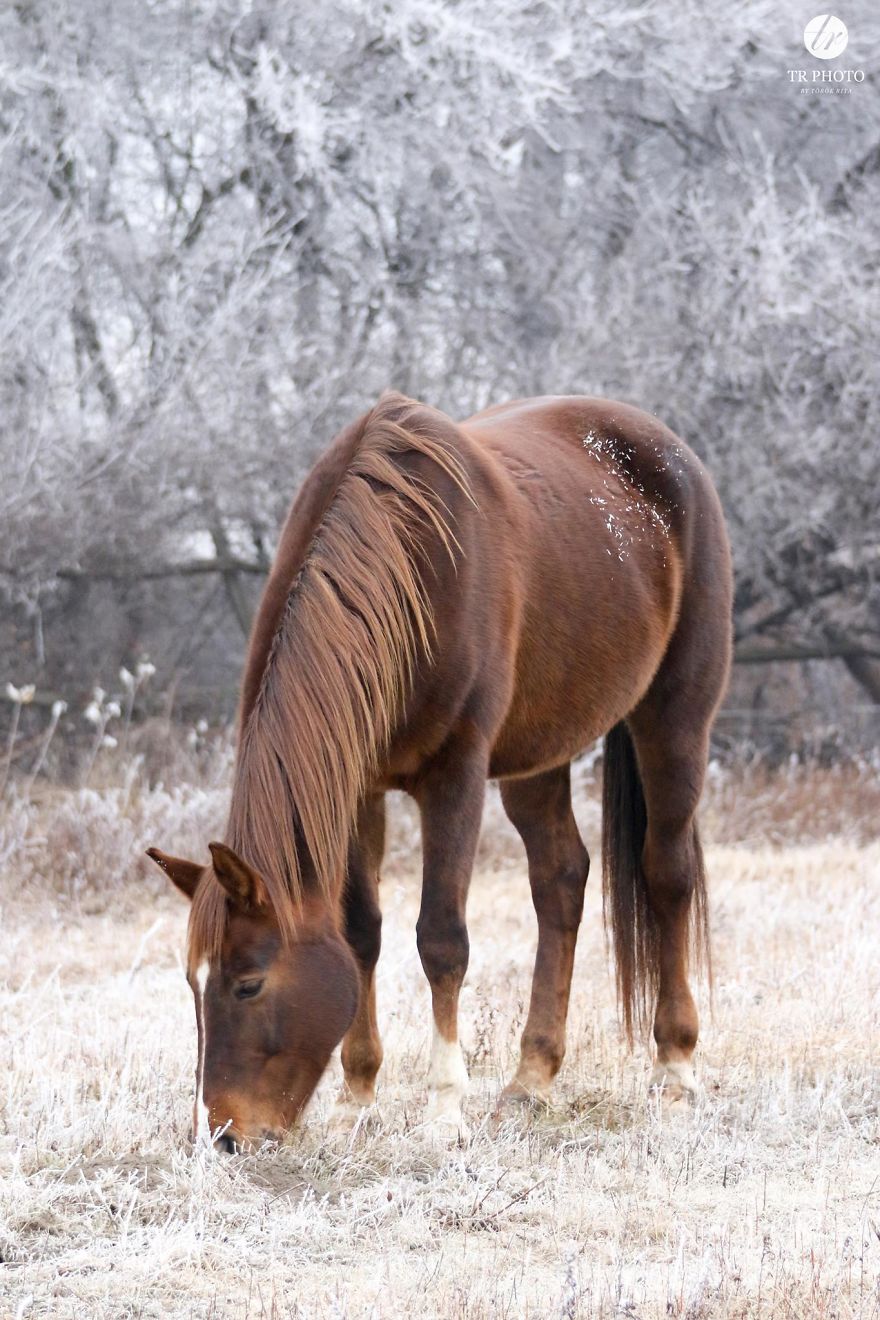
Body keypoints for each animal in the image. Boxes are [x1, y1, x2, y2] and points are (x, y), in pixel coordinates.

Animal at [147, 390, 732, 1149]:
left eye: (248, 983)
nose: (223, 1137)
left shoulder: (454, 776)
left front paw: (444, 1109)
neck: (402, 568)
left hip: (674, 720)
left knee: (667, 875)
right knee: (560, 881)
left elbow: (441, 939)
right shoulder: (358, 784)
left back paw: (675, 1068)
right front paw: (358, 1097)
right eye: (193, 984)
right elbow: (360, 932)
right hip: (537, 754)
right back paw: (530, 1080)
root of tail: (670, 452)